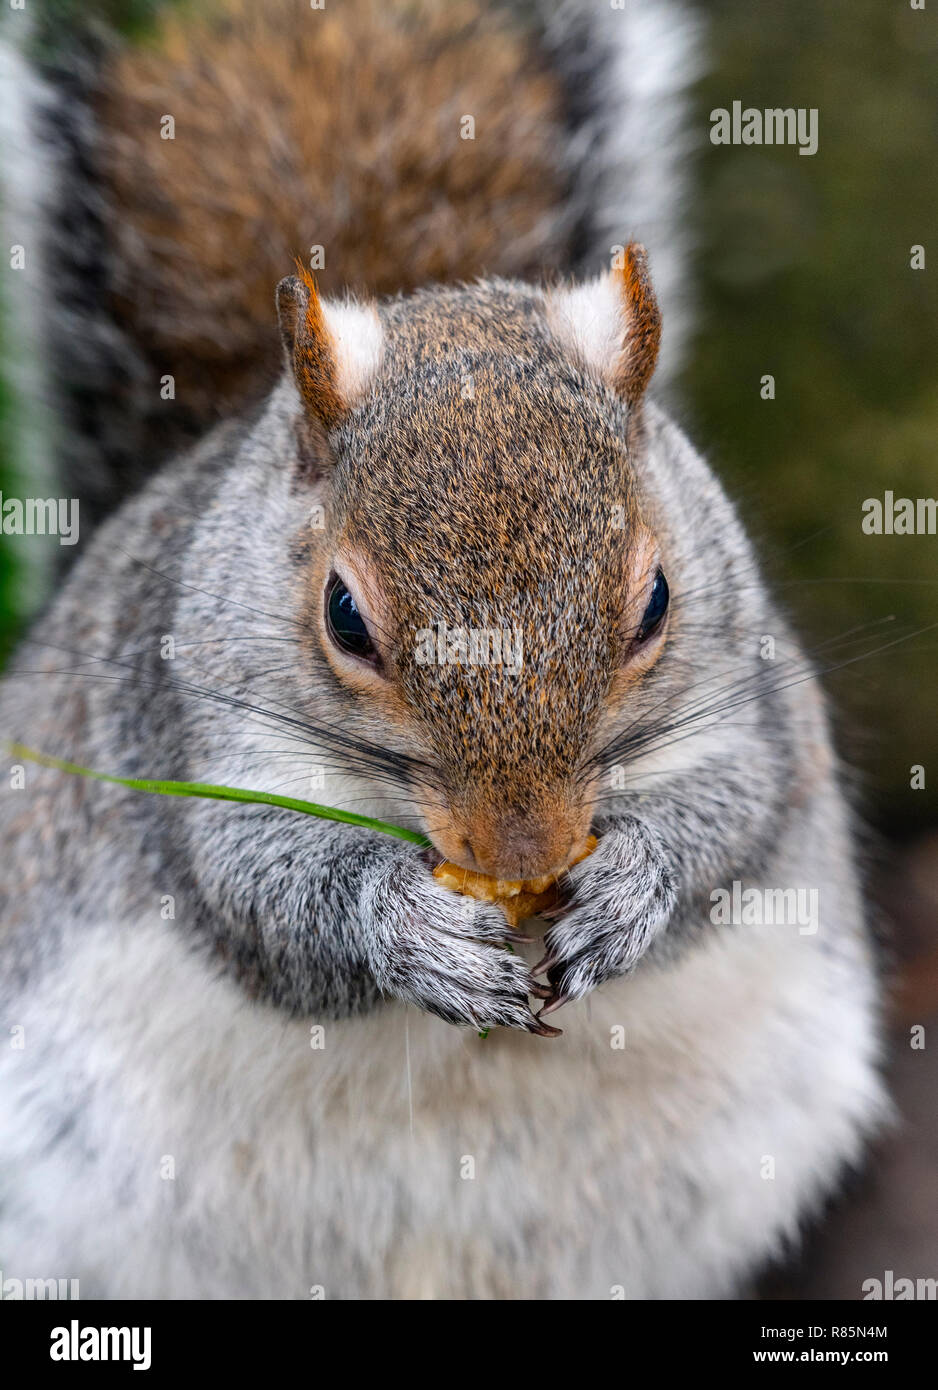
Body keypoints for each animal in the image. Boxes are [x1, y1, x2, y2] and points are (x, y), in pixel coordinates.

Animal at [0, 0, 883, 1301]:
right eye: (343, 618)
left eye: (655, 601)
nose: (521, 850)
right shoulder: (180, 740)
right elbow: (259, 891)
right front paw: (406, 929)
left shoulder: (750, 715)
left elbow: (733, 819)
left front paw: (631, 887)